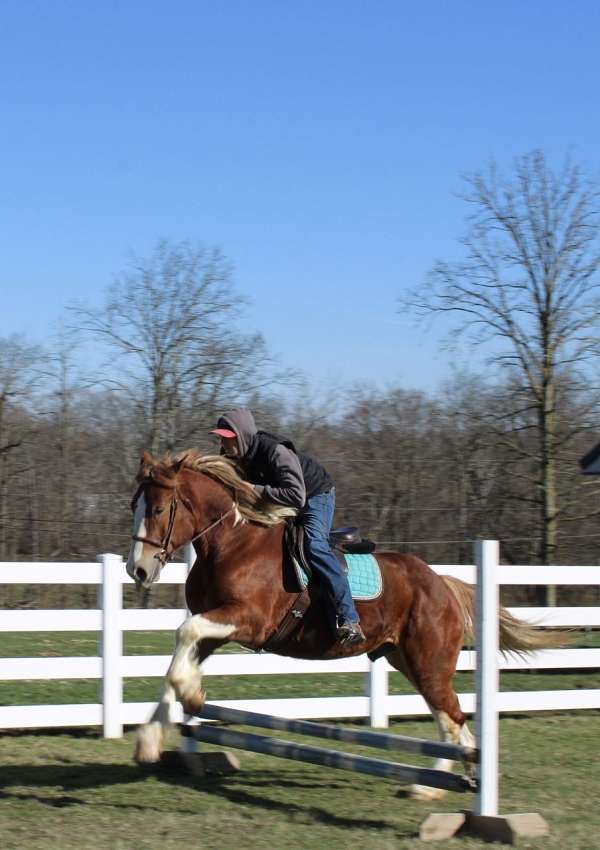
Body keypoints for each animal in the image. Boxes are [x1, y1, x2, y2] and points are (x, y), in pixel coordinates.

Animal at [126, 449, 561, 800]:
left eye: (158, 510)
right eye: (134, 506)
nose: (138, 571)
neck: (233, 543)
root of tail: (443, 583)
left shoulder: (249, 620)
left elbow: (184, 637)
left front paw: (192, 697)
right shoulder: (216, 628)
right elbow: (177, 665)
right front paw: (153, 736)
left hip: (430, 663)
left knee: (452, 719)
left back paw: (440, 785)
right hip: (409, 662)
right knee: (450, 721)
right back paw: (458, 781)